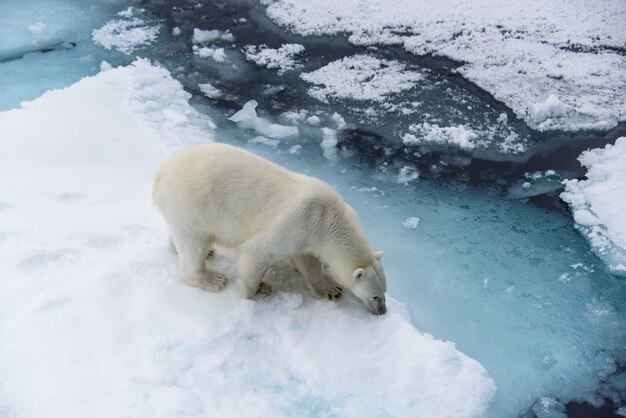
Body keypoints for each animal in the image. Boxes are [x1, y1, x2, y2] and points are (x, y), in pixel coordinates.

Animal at [153, 143, 386, 314]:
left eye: (385, 290)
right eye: (375, 295)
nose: (382, 311)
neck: (329, 218)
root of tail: (161, 172)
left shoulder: (310, 237)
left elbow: (308, 263)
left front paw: (330, 289)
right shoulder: (299, 222)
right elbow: (258, 251)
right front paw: (257, 291)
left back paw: (202, 250)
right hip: (191, 203)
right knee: (192, 243)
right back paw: (212, 278)